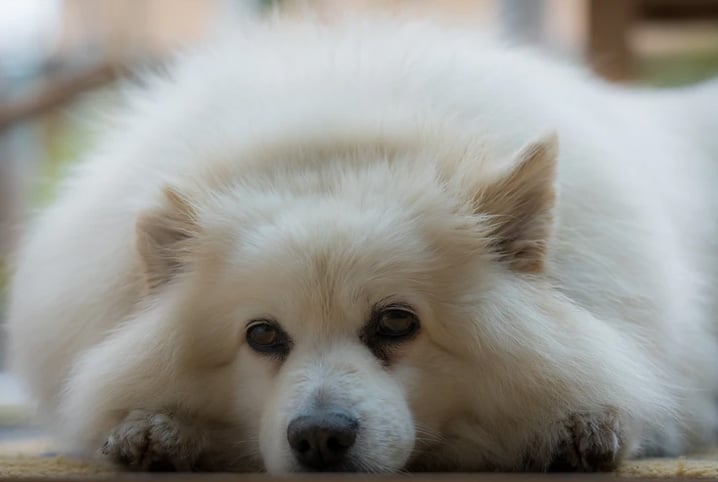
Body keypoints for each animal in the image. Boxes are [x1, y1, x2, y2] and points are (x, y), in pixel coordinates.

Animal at [5, 14, 718, 470]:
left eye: (397, 322)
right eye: (262, 335)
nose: (320, 439)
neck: (339, 137)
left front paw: (573, 428)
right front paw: (156, 429)